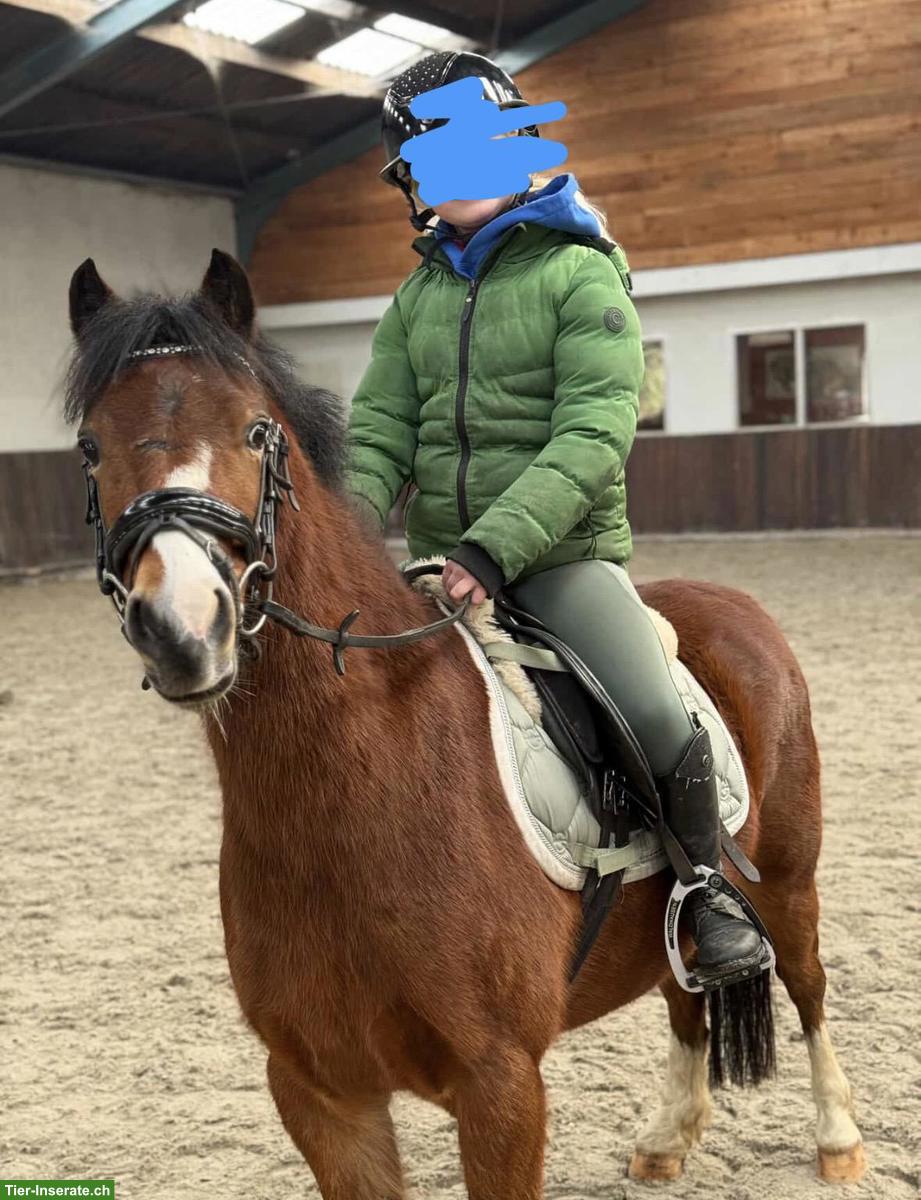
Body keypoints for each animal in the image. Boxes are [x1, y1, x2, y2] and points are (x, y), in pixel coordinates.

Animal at [63, 248, 866, 1198]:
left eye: (258, 432)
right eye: (90, 448)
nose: (182, 626)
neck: (347, 795)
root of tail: (732, 604)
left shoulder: (500, 1086)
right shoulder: (321, 1093)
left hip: (788, 877)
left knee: (809, 985)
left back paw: (837, 1140)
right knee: (682, 990)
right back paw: (668, 1137)